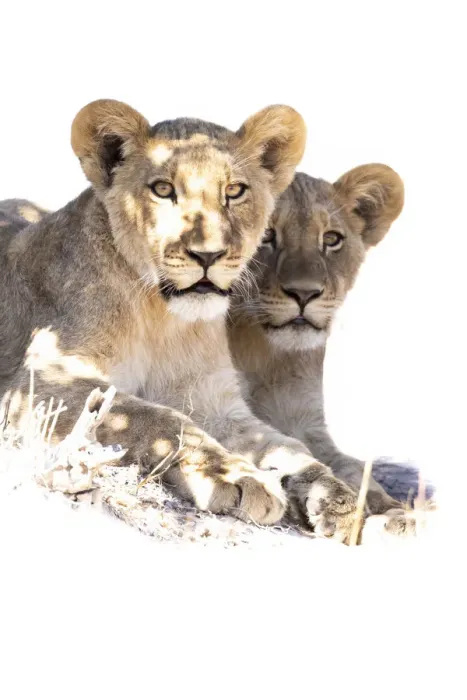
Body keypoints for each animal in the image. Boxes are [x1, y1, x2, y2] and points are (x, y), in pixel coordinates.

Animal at [0, 99, 361, 542]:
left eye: (234, 191)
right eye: (163, 190)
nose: (208, 255)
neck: (164, 319)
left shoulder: (216, 401)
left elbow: (286, 445)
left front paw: (337, 496)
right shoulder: (41, 383)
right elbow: (157, 417)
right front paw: (235, 477)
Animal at [228, 165, 417, 533]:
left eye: (331, 239)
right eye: (266, 234)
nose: (304, 294)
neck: (262, 351)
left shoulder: (305, 419)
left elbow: (349, 466)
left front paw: (393, 512)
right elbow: (290, 453)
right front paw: (337, 504)